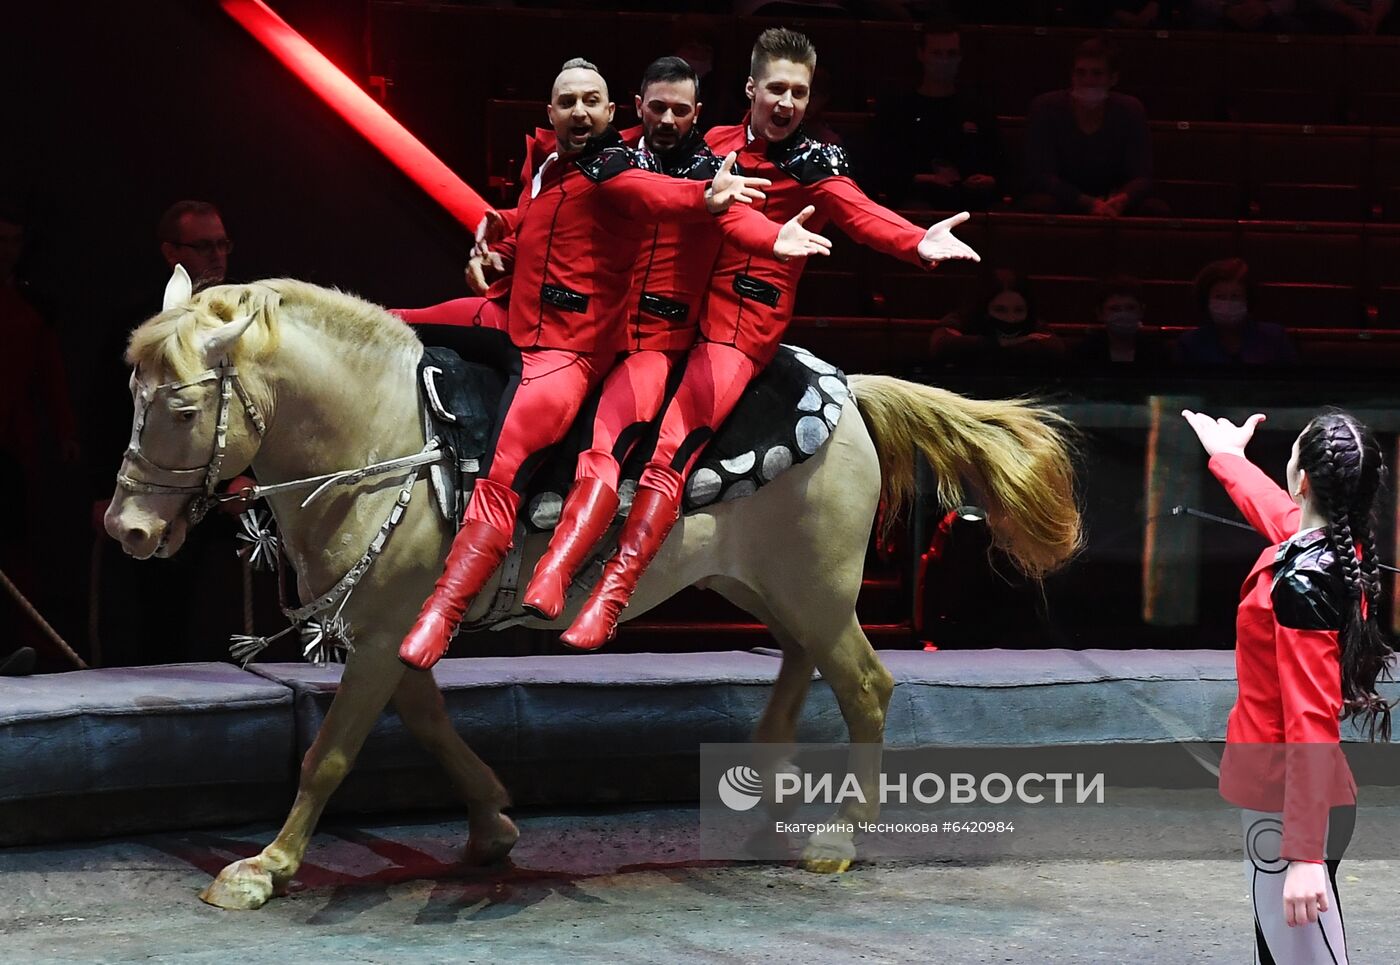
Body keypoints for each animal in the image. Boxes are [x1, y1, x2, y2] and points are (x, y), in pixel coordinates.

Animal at [106, 274, 1080, 907]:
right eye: (134, 395)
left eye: (184, 409)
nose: (129, 530)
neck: (385, 431)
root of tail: (849, 386)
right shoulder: (399, 628)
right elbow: (427, 719)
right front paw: (492, 822)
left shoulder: (382, 634)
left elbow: (331, 752)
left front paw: (264, 867)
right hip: (773, 583)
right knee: (804, 661)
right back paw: (763, 784)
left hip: (815, 586)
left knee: (866, 687)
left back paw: (839, 835)